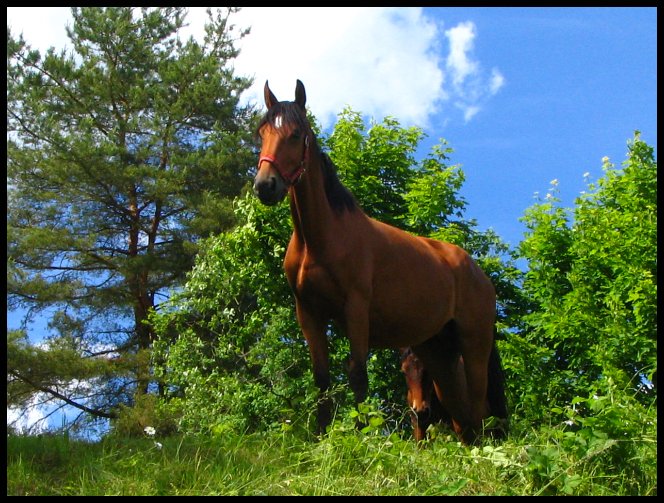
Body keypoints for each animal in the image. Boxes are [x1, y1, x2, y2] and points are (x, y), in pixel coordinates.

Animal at [254, 79, 508, 444]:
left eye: (295, 133)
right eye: (262, 131)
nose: (265, 185)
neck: (320, 240)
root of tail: (478, 273)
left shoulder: (356, 310)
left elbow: (358, 375)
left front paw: (359, 437)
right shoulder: (309, 313)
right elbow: (321, 379)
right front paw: (320, 438)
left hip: (474, 342)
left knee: (476, 402)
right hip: (438, 351)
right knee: (462, 412)